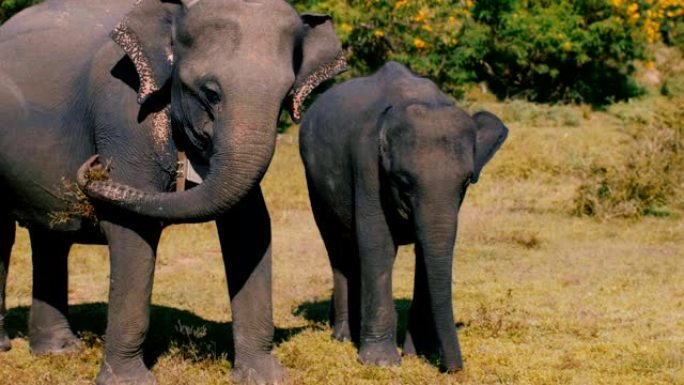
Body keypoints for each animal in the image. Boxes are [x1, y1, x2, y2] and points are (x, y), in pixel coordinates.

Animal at [1, 1, 348, 382]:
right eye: (210, 92)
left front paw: (265, 376)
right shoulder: (123, 112)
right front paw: (129, 381)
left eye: (286, 97)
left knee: (51, 237)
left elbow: (251, 226)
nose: (95, 165)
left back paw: (59, 352)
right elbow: (131, 230)